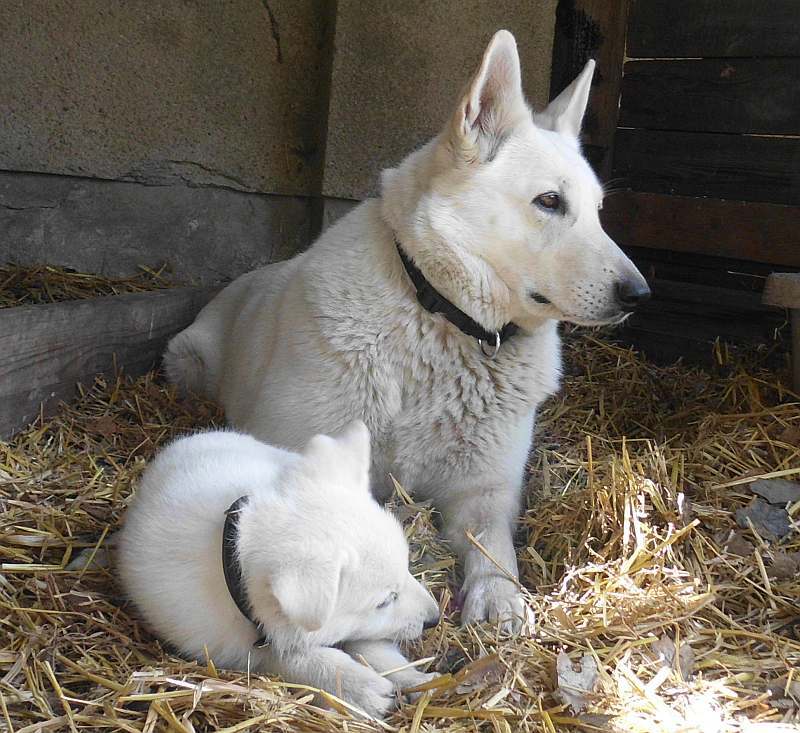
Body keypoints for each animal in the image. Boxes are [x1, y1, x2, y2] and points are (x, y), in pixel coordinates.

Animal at [116, 420, 440, 716]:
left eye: (406, 567)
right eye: (384, 601)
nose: (435, 619)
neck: (232, 560)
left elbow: (371, 644)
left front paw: (413, 677)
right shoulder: (238, 652)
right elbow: (294, 657)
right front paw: (357, 687)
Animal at [164, 30, 648, 628]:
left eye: (599, 211)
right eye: (550, 201)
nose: (639, 294)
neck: (443, 321)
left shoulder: (486, 490)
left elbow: (493, 546)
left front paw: (499, 597)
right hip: (186, 361)